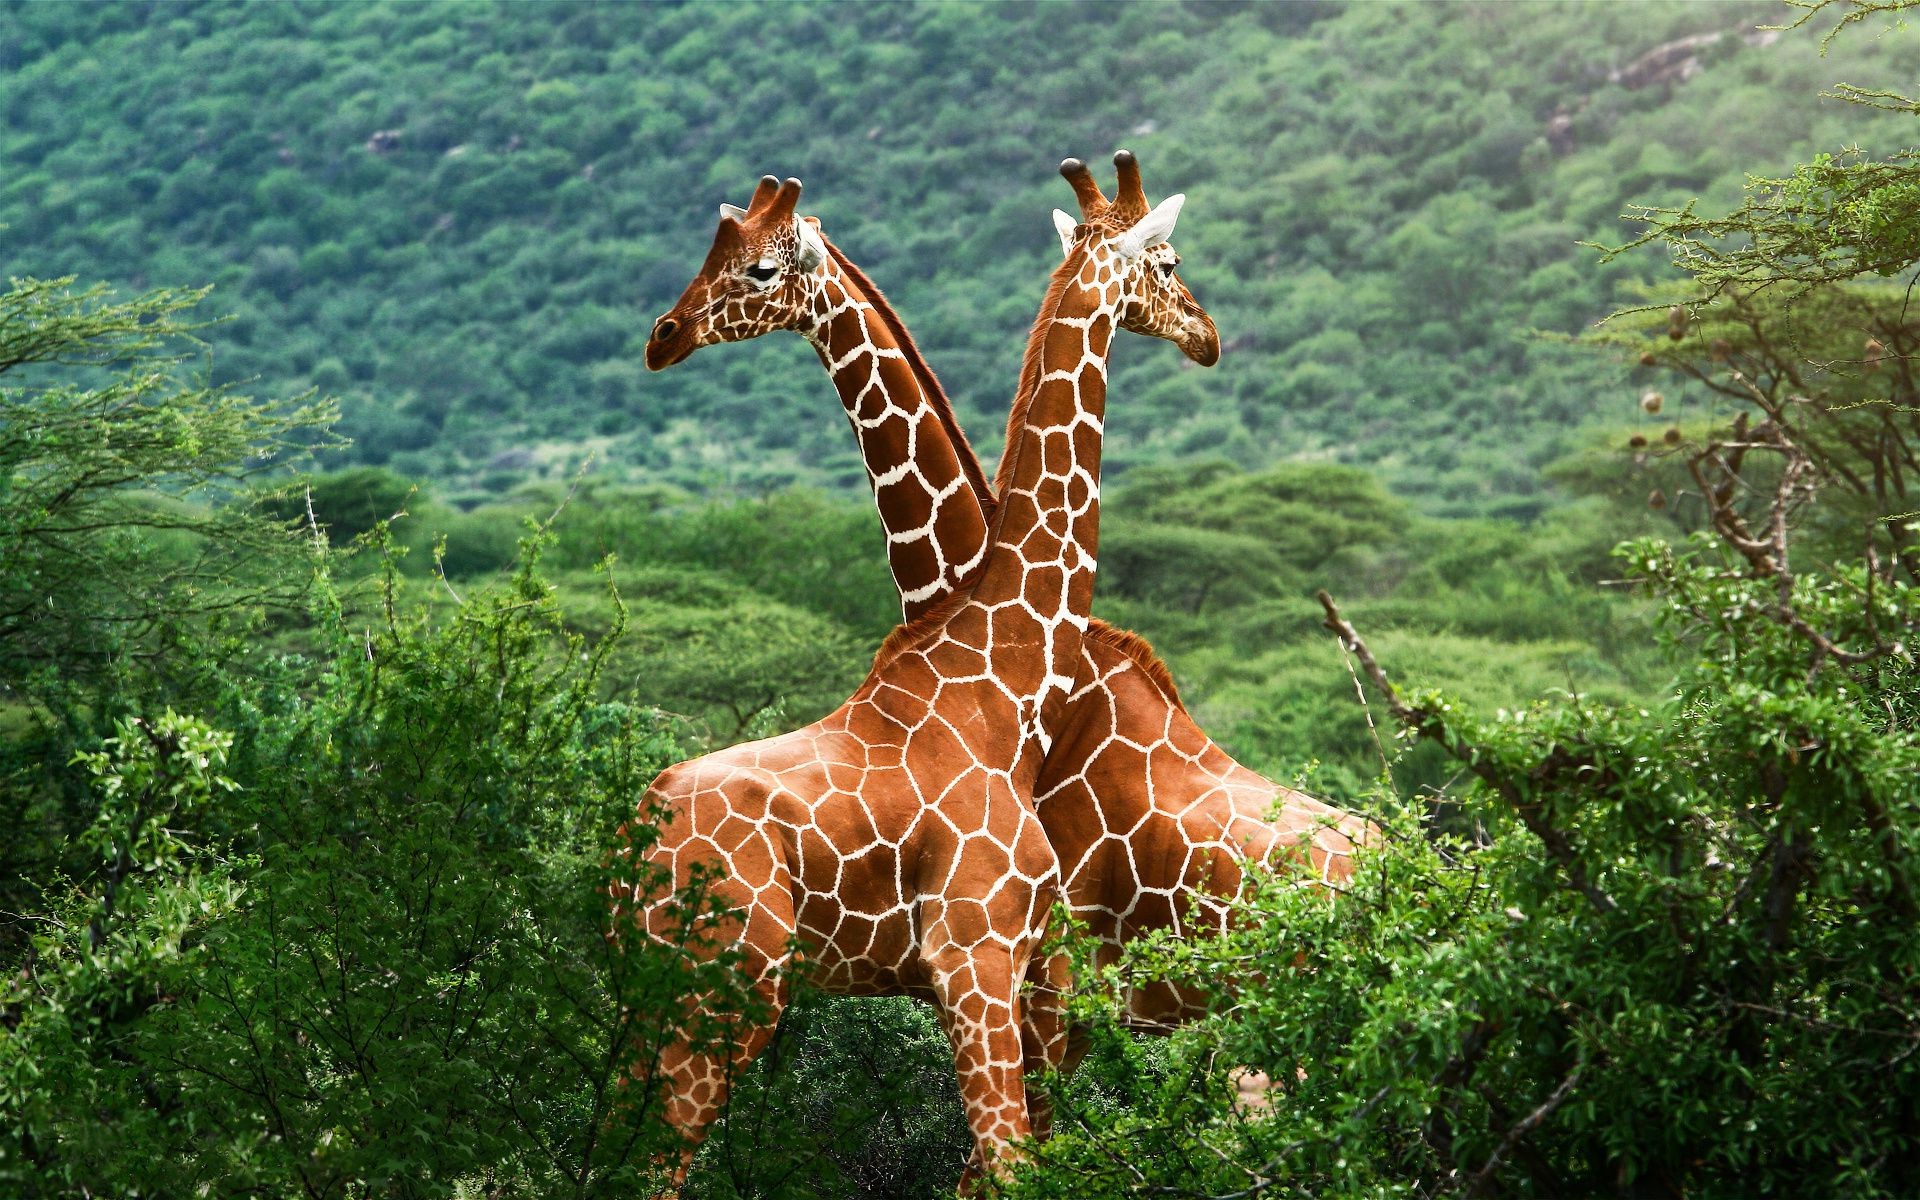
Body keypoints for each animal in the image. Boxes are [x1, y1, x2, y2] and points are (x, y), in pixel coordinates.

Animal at [622, 147, 1221, 1182]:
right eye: (1172, 261)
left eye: (759, 267)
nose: (1208, 334)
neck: (1002, 671)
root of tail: (634, 845)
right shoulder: (979, 956)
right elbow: (1009, 1165)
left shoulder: (1015, 972)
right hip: (724, 987)